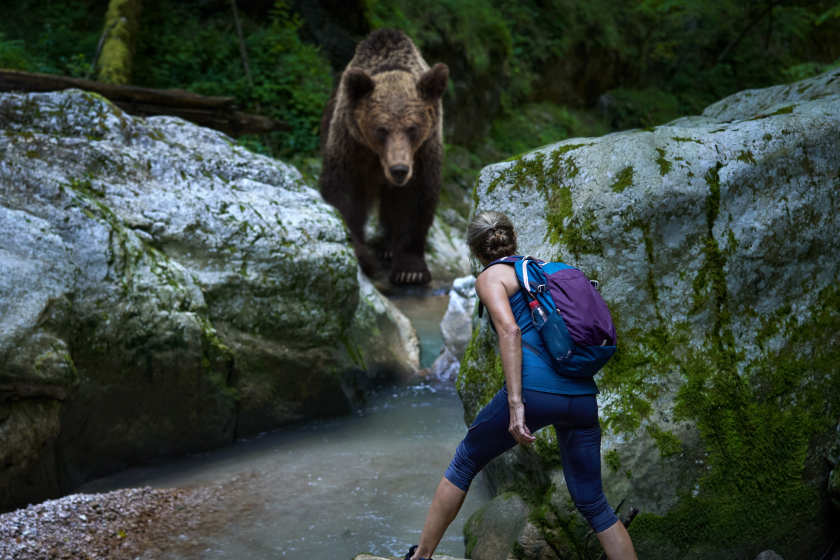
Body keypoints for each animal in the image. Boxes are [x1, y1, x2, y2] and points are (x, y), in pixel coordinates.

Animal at [319, 28, 449, 285]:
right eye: (381, 129)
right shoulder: (352, 146)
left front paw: (411, 271)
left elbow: (414, 200)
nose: (399, 170)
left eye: (412, 128)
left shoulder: (422, 153)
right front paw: (363, 258)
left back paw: (387, 247)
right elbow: (344, 194)